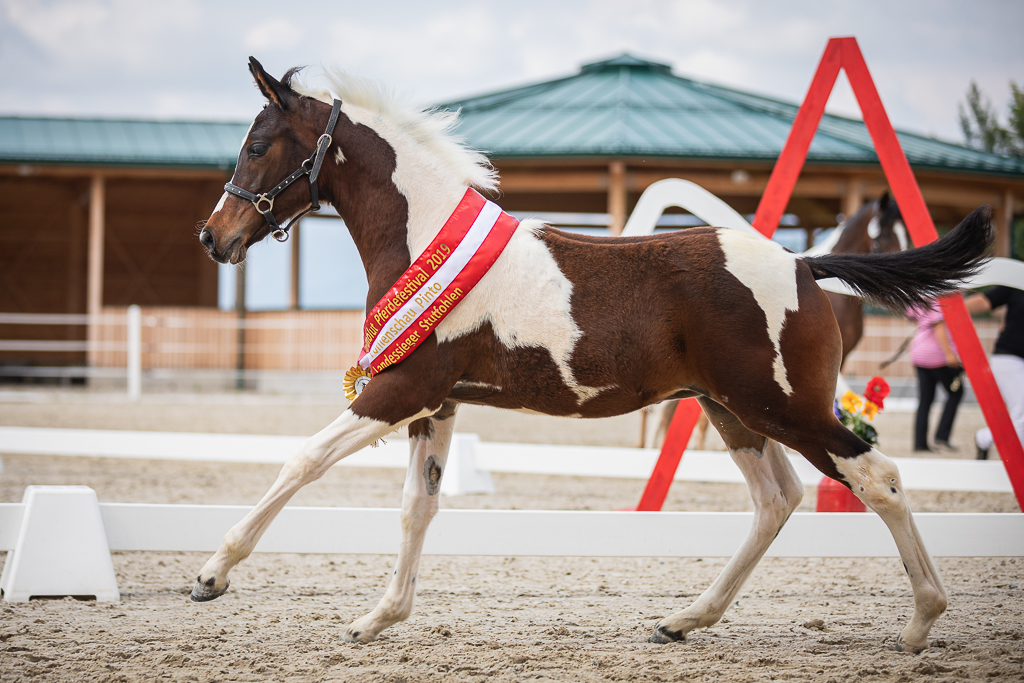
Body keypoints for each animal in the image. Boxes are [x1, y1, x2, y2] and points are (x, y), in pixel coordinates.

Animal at [192, 61, 991, 655]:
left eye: (257, 146)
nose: (214, 238)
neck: (423, 239)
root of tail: (803, 264)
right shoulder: (438, 402)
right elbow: (419, 506)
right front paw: (376, 619)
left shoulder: (397, 391)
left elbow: (302, 460)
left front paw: (211, 575)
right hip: (731, 409)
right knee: (777, 500)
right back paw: (683, 620)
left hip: (783, 406)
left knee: (876, 476)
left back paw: (920, 622)